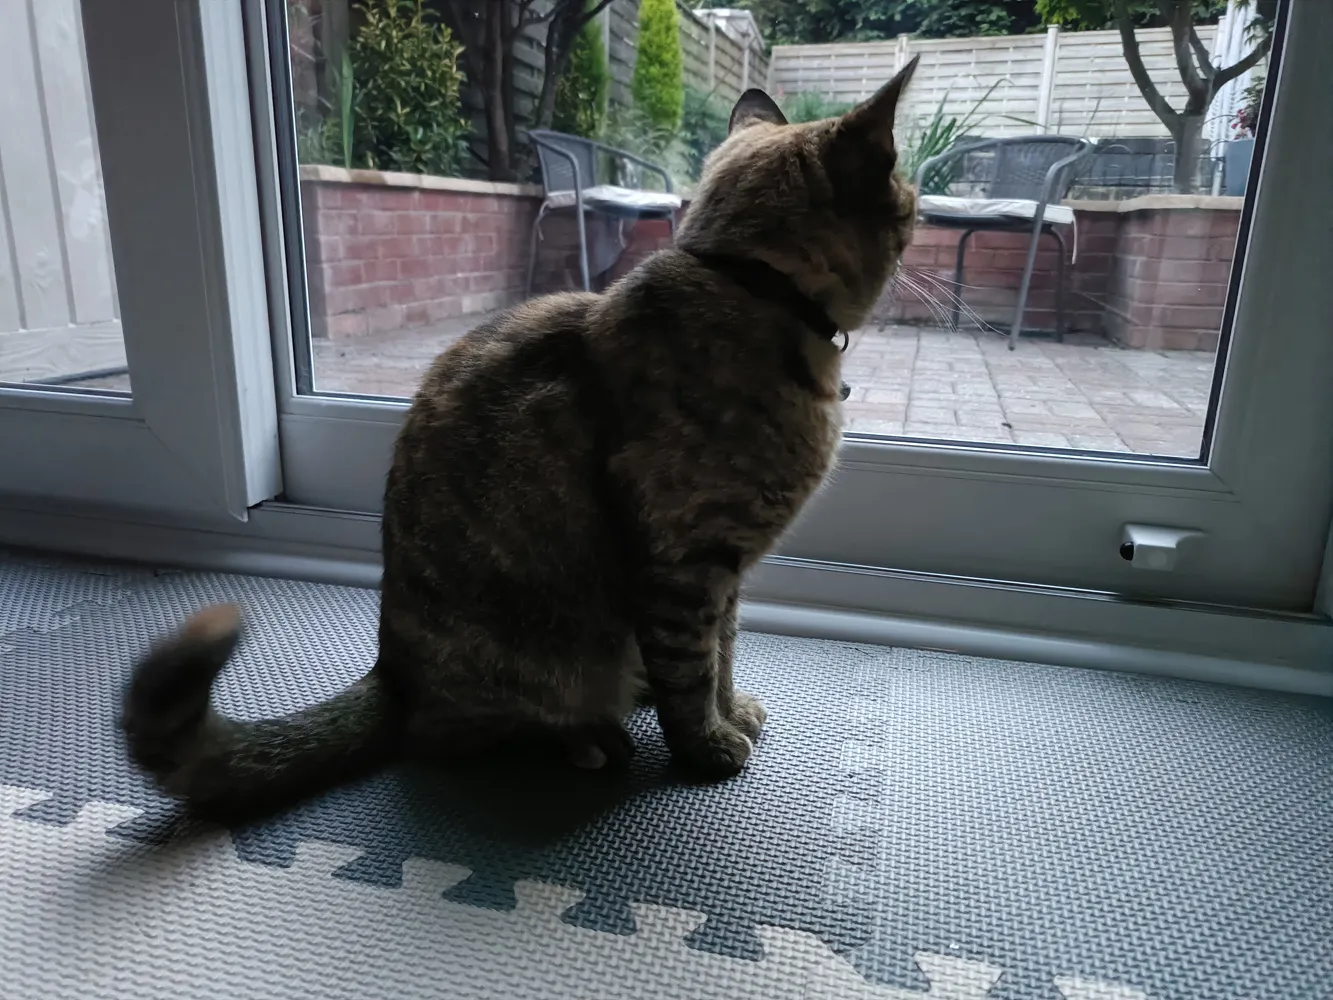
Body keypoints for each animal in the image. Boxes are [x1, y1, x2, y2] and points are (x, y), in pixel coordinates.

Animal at [121, 57, 920, 820]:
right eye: (908, 198)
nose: (917, 214)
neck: (753, 289)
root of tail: (390, 672)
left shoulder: (727, 573)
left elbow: (721, 652)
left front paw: (731, 711)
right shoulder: (683, 564)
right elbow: (692, 672)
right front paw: (708, 747)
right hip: (528, 661)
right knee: (456, 735)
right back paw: (587, 737)